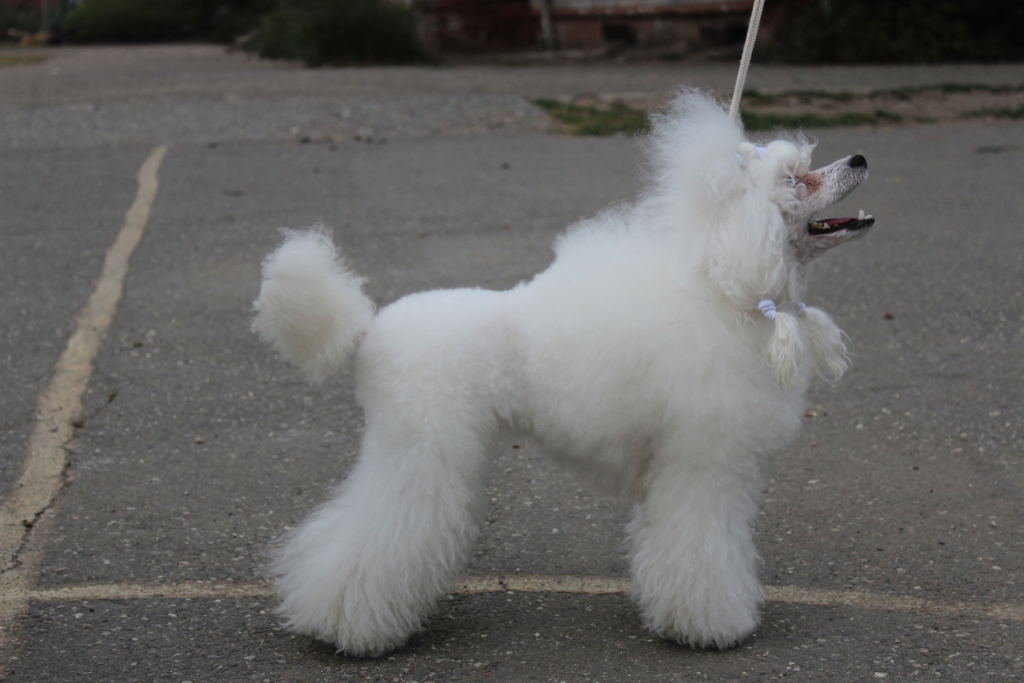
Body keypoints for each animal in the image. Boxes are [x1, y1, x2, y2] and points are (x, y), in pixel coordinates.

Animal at [251, 90, 874, 655]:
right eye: (795, 180)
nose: (860, 159)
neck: (730, 292)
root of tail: (368, 329)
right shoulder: (703, 465)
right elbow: (703, 550)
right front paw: (711, 626)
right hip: (421, 451)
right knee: (373, 538)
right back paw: (345, 627)